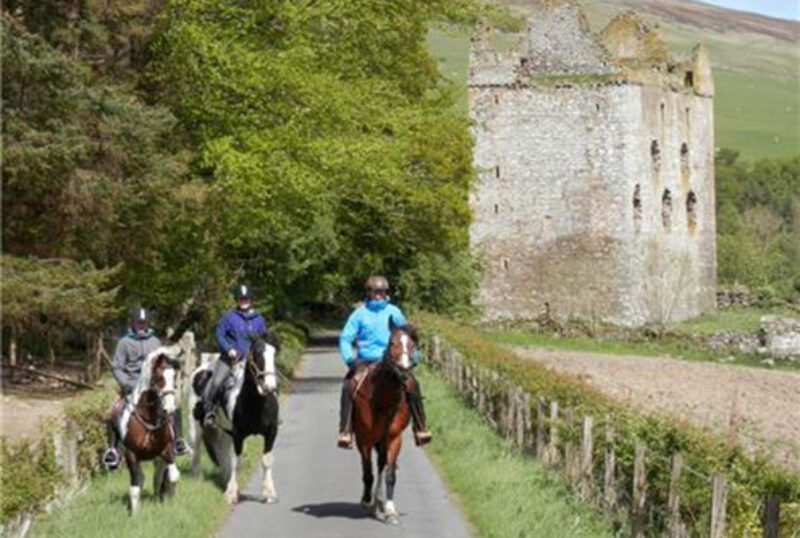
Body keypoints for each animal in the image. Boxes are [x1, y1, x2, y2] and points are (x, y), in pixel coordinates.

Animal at [111, 346, 180, 512]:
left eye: (174, 377)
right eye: (159, 377)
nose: (170, 409)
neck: (149, 419)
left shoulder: (166, 450)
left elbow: (173, 476)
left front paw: (170, 502)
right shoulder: (131, 456)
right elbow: (135, 487)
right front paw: (135, 514)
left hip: (158, 458)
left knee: (158, 477)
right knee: (143, 479)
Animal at [189, 330, 280, 502]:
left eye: (274, 353)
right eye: (257, 354)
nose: (270, 387)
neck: (255, 402)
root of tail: (200, 370)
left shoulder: (271, 432)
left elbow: (267, 460)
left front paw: (269, 493)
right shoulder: (238, 434)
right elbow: (236, 462)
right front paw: (231, 494)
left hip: (225, 431)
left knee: (222, 452)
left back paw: (227, 480)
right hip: (195, 426)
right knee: (195, 449)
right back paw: (197, 478)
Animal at [354, 320, 418, 520]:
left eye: (412, 344)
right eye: (392, 343)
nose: (404, 370)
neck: (385, 398)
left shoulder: (394, 438)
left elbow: (390, 474)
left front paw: (389, 509)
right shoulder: (364, 441)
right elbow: (367, 472)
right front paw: (366, 500)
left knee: (382, 464)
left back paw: (379, 502)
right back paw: (372, 501)